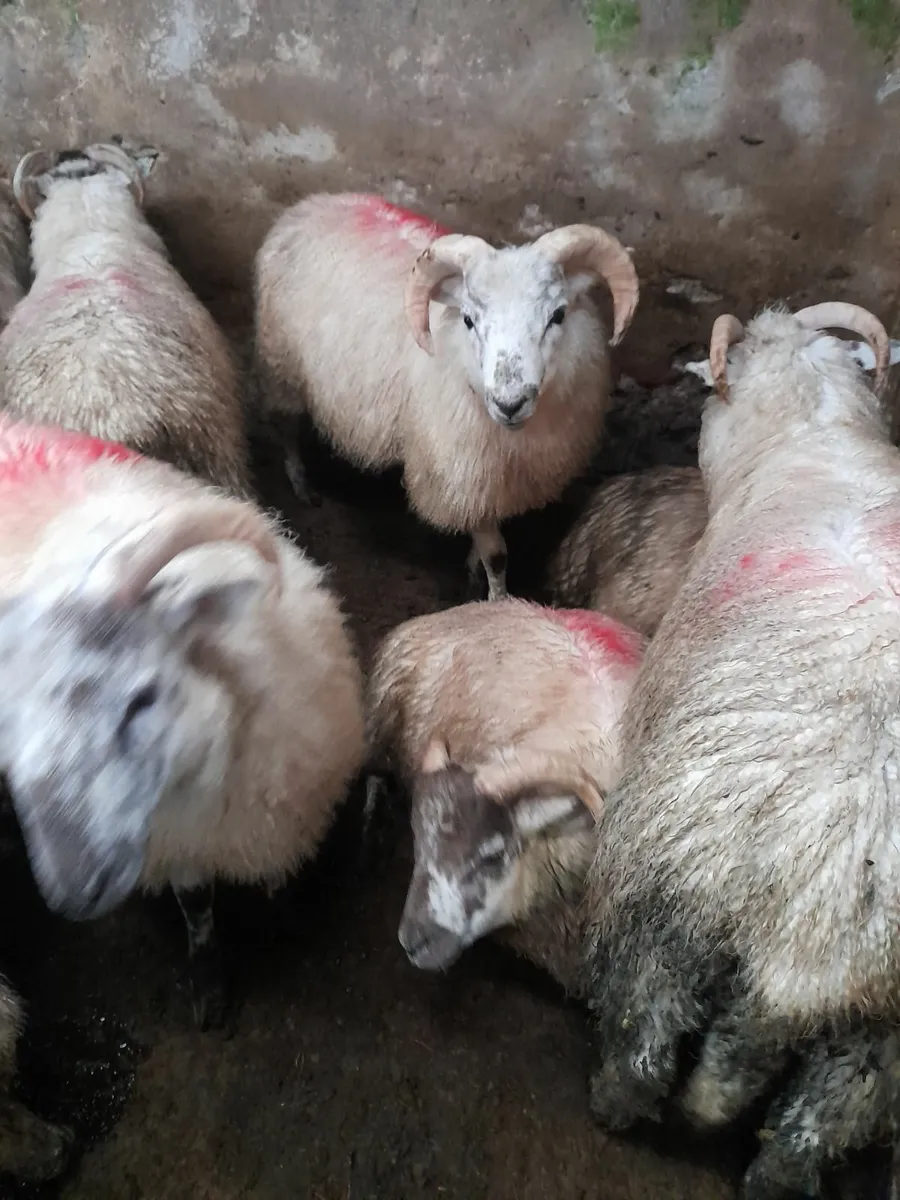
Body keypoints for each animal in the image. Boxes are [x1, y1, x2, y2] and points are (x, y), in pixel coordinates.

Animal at [0, 416, 366, 1028]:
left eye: (142, 698)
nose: (73, 891)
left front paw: (287, 906)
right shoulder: (180, 844)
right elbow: (196, 905)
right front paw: (208, 978)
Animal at [254, 193, 639, 601]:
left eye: (559, 315)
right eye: (468, 320)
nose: (510, 404)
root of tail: (312, 203)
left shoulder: (496, 480)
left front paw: (472, 564)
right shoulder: (461, 472)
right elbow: (497, 555)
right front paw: (496, 598)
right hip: (281, 366)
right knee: (286, 428)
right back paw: (301, 483)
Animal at [582, 301, 899, 1198]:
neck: (814, 435)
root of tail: (813, 948)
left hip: (668, 876)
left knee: (646, 1027)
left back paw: (613, 1103)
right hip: (878, 1028)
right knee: (822, 1117)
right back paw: (775, 1178)